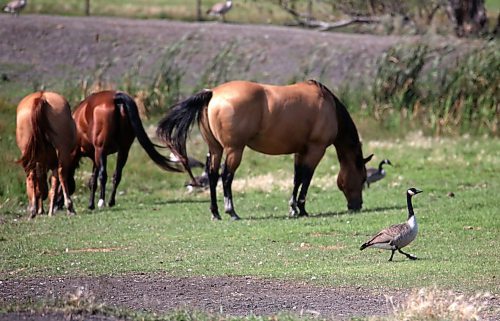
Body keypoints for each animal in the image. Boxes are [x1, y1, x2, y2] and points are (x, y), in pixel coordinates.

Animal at [15, 91, 77, 219]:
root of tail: (41, 96)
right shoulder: (53, 164)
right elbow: (53, 185)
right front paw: (50, 210)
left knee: (32, 175)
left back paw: (33, 211)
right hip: (62, 151)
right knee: (61, 173)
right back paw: (69, 207)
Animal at [158, 80, 374, 220]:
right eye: (362, 177)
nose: (357, 206)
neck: (328, 106)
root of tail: (213, 93)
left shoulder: (300, 151)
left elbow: (297, 178)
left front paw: (293, 209)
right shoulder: (315, 150)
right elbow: (306, 179)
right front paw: (302, 209)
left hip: (216, 149)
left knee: (212, 175)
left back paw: (215, 213)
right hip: (234, 150)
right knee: (226, 176)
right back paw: (231, 212)